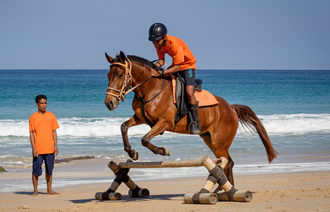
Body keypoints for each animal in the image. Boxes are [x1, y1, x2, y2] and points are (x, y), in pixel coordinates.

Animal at [104, 51, 278, 186]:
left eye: (120, 74)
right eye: (108, 75)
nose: (109, 103)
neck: (150, 89)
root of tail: (231, 107)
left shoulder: (164, 123)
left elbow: (145, 139)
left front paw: (163, 151)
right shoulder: (141, 118)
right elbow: (124, 127)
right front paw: (132, 153)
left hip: (219, 143)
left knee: (227, 163)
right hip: (209, 139)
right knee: (227, 162)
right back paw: (223, 190)